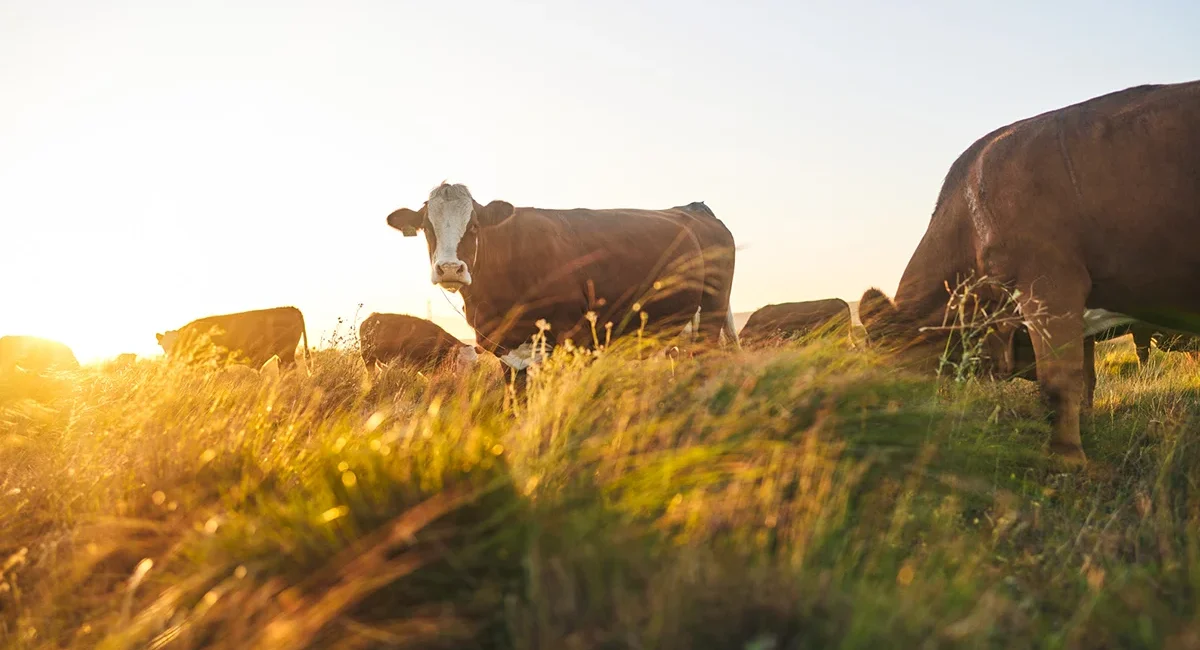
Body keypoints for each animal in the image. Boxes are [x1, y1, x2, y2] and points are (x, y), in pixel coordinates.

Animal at [385, 183, 738, 373]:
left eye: (473, 226)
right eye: (427, 228)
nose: (450, 269)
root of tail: (693, 209)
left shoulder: (574, 340)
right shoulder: (505, 348)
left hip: (712, 315)